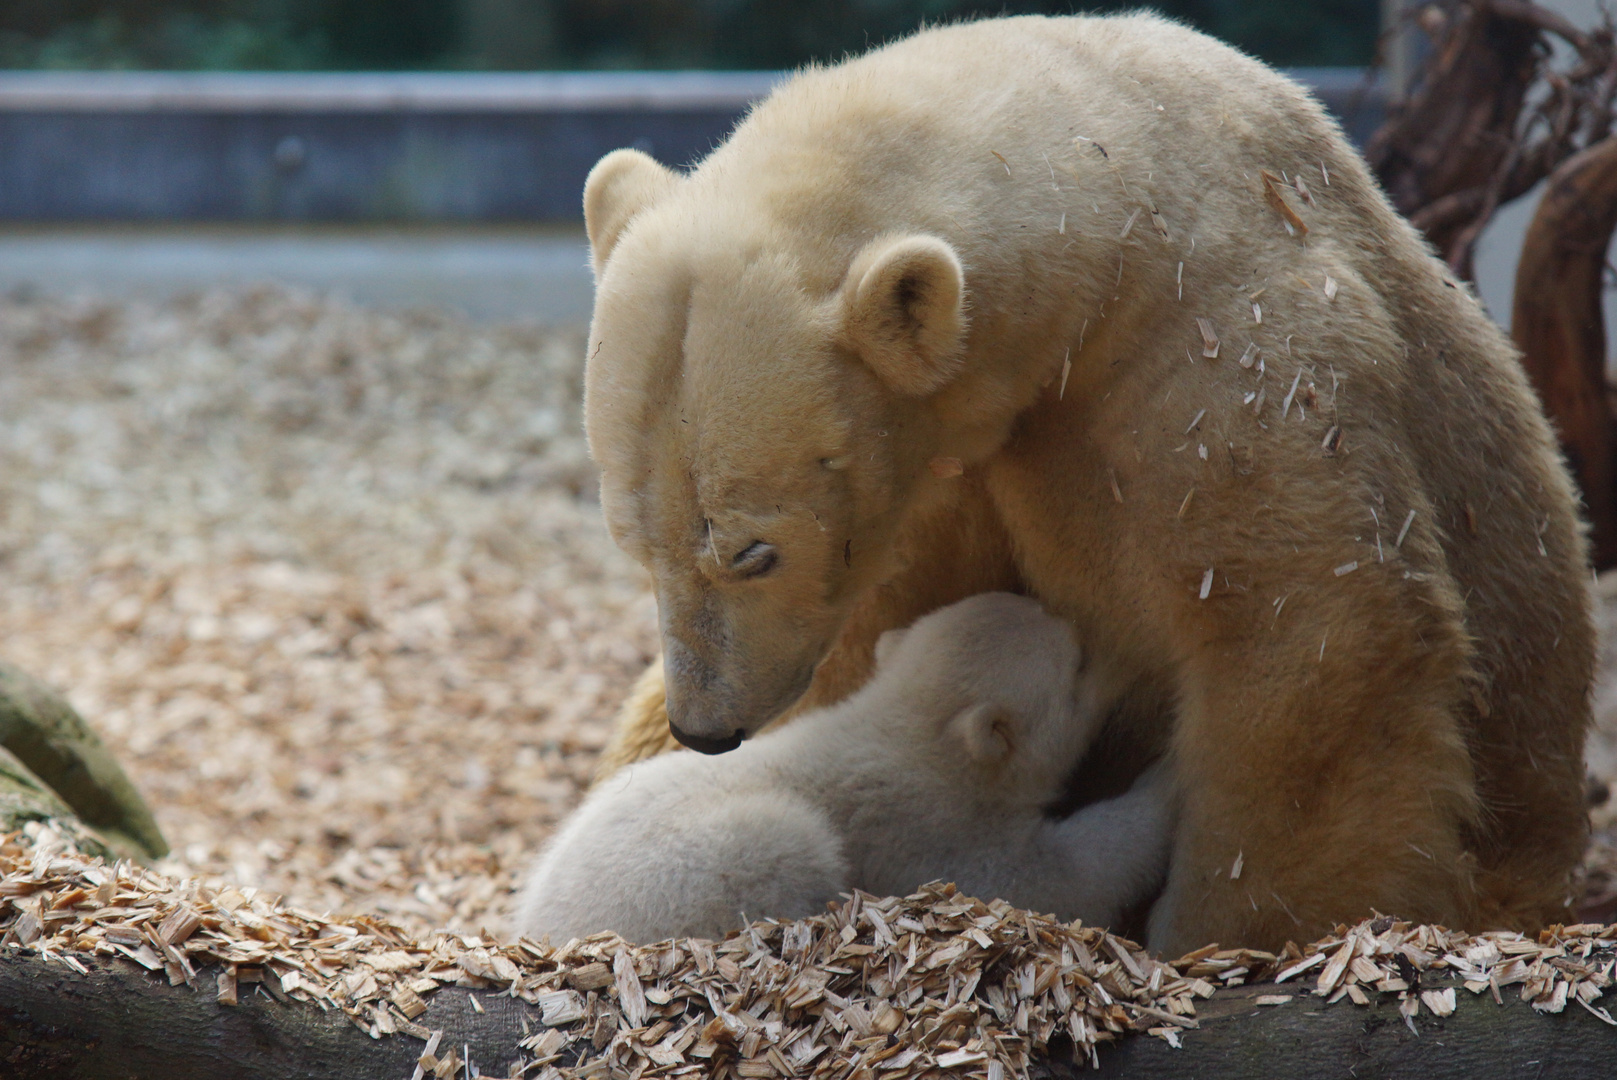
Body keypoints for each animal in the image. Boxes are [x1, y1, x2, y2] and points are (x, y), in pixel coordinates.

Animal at [578, 10, 1591, 950]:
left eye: (753, 550)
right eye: (634, 544)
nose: (706, 728)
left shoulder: (1226, 356)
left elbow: (1311, 635)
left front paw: (1232, 931)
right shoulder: (957, 455)